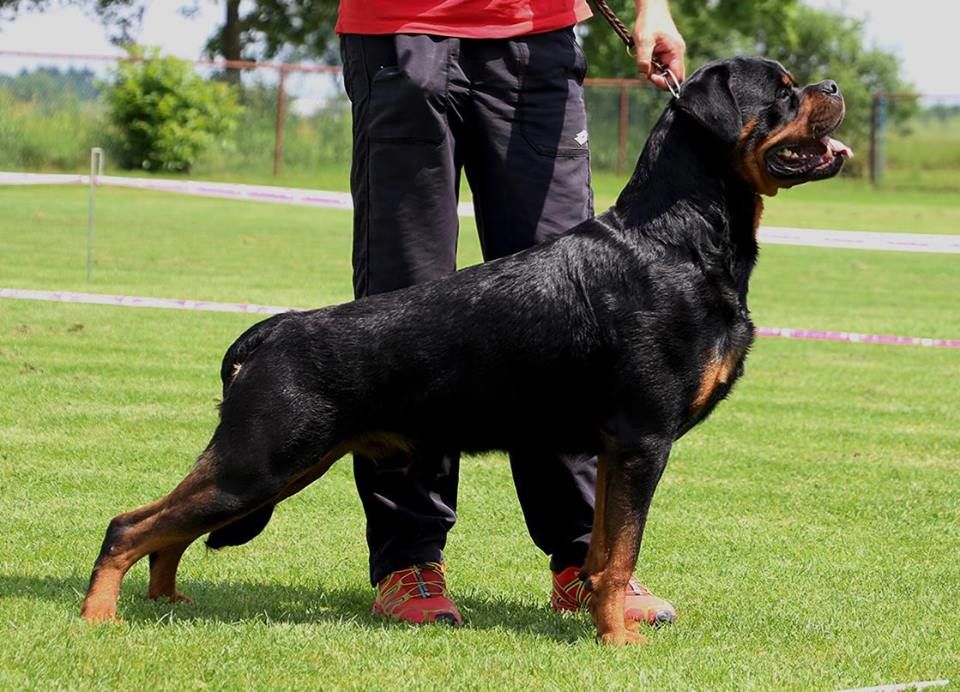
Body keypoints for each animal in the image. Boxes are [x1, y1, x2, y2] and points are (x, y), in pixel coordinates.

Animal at [80, 56, 848, 648]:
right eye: (783, 91)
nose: (834, 85)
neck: (678, 239)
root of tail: (272, 330)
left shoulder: (613, 448)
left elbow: (604, 551)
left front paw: (606, 620)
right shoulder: (643, 438)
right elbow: (622, 551)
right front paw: (617, 641)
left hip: (270, 467)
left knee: (168, 529)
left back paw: (166, 601)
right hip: (261, 462)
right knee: (129, 524)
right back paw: (98, 617)